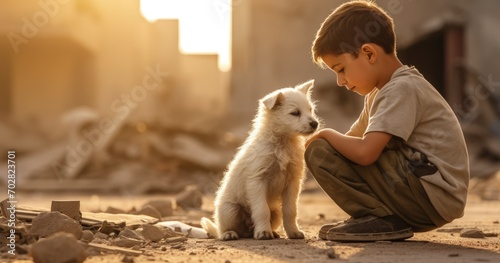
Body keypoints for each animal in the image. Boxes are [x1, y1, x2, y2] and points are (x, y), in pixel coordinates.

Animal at [201, 79, 318, 240]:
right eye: (295, 113)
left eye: (310, 109)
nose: (315, 124)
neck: (282, 143)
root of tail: (248, 229)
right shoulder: (257, 180)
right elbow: (262, 210)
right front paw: (263, 232)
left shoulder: (293, 182)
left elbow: (290, 210)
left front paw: (294, 232)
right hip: (229, 209)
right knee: (223, 228)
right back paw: (229, 234)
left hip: (276, 212)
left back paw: (271, 232)